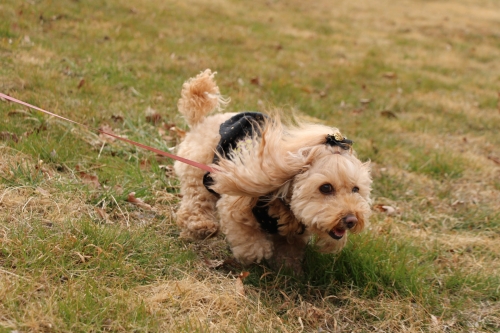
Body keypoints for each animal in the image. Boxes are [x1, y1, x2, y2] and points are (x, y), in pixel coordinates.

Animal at [174, 68, 374, 268]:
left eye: (356, 189)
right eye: (326, 187)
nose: (351, 219)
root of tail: (202, 121)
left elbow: (290, 249)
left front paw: (287, 267)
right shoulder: (236, 203)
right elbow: (248, 239)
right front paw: (257, 252)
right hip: (199, 172)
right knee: (195, 202)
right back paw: (201, 226)